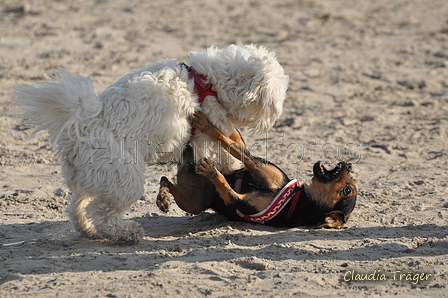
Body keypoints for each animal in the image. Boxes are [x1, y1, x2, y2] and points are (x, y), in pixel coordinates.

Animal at [15, 44, 288, 242]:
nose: (276, 116)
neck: (206, 81)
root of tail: (80, 124)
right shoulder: (209, 128)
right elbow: (225, 149)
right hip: (123, 178)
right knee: (103, 213)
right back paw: (126, 233)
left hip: (96, 177)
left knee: (77, 208)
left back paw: (88, 231)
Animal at [157, 112, 356, 228]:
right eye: (352, 181)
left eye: (347, 190)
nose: (349, 165)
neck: (297, 200)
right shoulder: (253, 164)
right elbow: (234, 141)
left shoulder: (236, 197)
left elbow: (230, 148)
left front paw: (211, 168)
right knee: (165, 179)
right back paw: (163, 196)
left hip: (192, 203)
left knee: (169, 181)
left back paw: (165, 196)